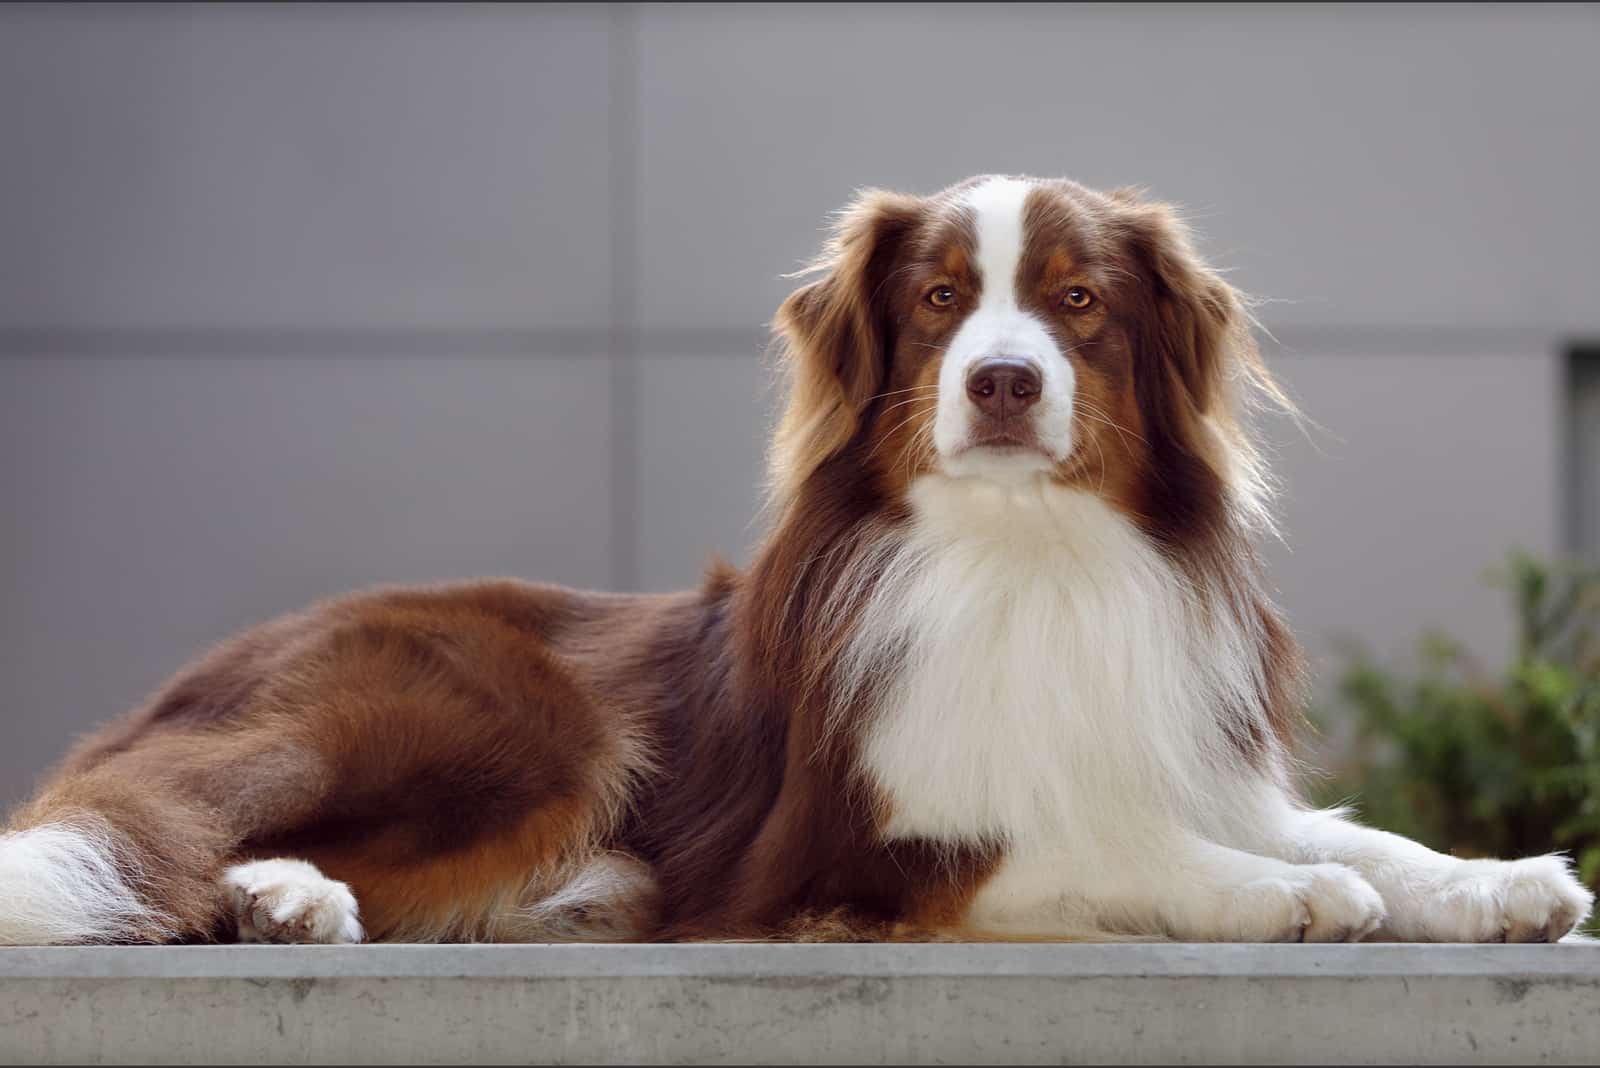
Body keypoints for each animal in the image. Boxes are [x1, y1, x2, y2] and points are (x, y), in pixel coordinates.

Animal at [3, 179, 1587, 946]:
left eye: (1077, 303)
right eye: (940, 298)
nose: (1002, 379)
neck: (1027, 552)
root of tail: (202, 668)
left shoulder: (1186, 762)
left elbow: (1357, 835)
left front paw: (1499, 879)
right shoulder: (864, 839)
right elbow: (1107, 845)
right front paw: (1279, 897)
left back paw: (291, 903)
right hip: (531, 725)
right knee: (153, 823)